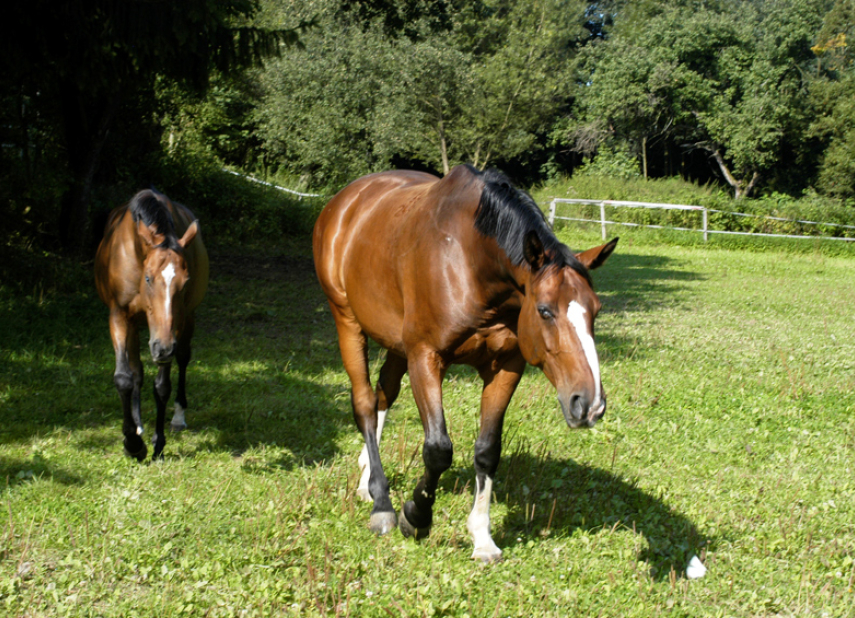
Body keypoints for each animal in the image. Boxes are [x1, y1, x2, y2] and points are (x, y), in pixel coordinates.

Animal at [95, 188, 209, 458]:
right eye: (148, 278)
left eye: (185, 282)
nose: (163, 348)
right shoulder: (119, 315)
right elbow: (125, 377)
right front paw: (133, 442)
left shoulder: (172, 328)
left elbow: (162, 385)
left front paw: (157, 442)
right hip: (137, 325)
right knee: (137, 370)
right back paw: (138, 426)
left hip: (186, 321)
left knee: (183, 358)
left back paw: (178, 417)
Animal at [312, 164, 616, 560]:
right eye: (545, 310)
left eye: (596, 310)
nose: (589, 403)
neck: (468, 263)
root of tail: (342, 202)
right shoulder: (425, 357)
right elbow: (438, 449)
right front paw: (416, 516)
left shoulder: (506, 366)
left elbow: (487, 451)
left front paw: (482, 537)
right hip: (347, 320)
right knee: (364, 403)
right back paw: (381, 503)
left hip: (395, 341)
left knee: (383, 394)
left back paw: (366, 479)